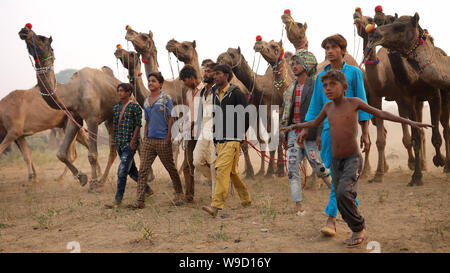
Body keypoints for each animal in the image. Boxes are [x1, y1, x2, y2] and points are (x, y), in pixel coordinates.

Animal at [18, 25, 119, 191]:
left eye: (41, 38)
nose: (24, 30)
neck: (72, 92)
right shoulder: (74, 117)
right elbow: (60, 153)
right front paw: (83, 178)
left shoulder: (92, 119)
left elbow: (92, 155)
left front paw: (92, 183)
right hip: (110, 119)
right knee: (114, 149)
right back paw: (103, 181)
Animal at [366, 12, 450, 174]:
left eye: (399, 26)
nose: (373, 33)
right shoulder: (407, 97)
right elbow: (415, 134)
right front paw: (417, 174)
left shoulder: (434, 94)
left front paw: (439, 160)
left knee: (445, 128)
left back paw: (446, 166)